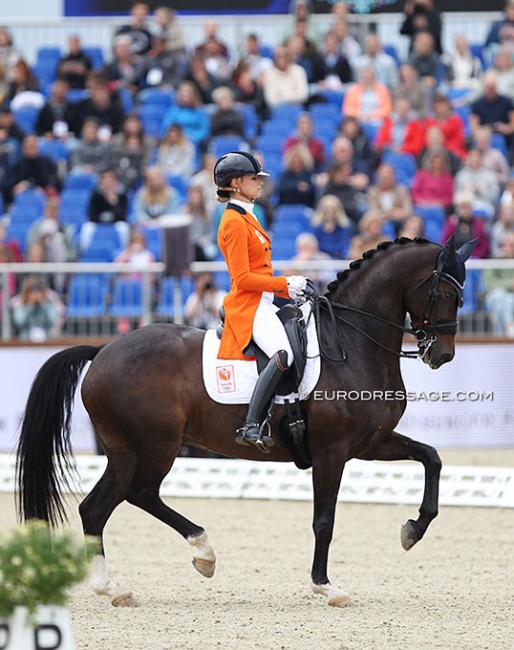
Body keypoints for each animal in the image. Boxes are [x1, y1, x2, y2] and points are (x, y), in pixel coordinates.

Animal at [15, 235, 472, 604]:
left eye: (462, 295)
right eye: (446, 293)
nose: (442, 355)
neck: (352, 342)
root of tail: (103, 350)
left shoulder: (372, 442)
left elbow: (432, 458)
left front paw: (412, 530)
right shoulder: (332, 451)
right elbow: (324, 520)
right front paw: (325, 586)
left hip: (124, 451)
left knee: (100, 507)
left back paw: (117, 586)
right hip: (154, 446)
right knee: (135, 495)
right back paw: (199, 554)